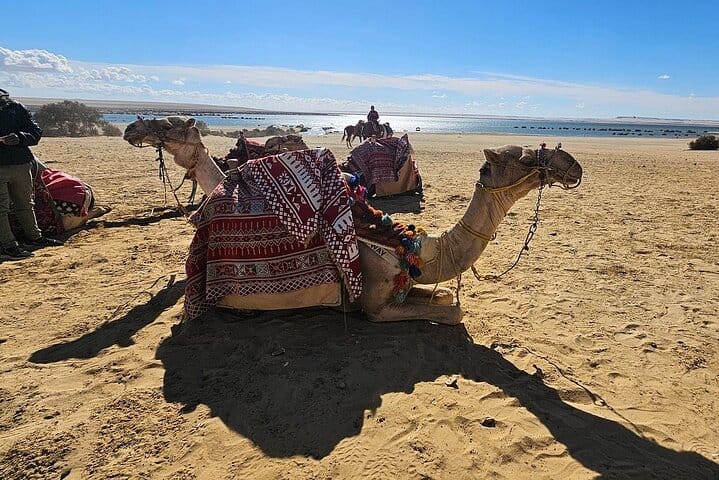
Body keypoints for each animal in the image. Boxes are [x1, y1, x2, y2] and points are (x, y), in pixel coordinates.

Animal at [123, 116, 582, 325]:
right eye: (526, 158)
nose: (571, 164)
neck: (414, 246)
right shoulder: (375, 305)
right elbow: (454, 313)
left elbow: (447, 301)